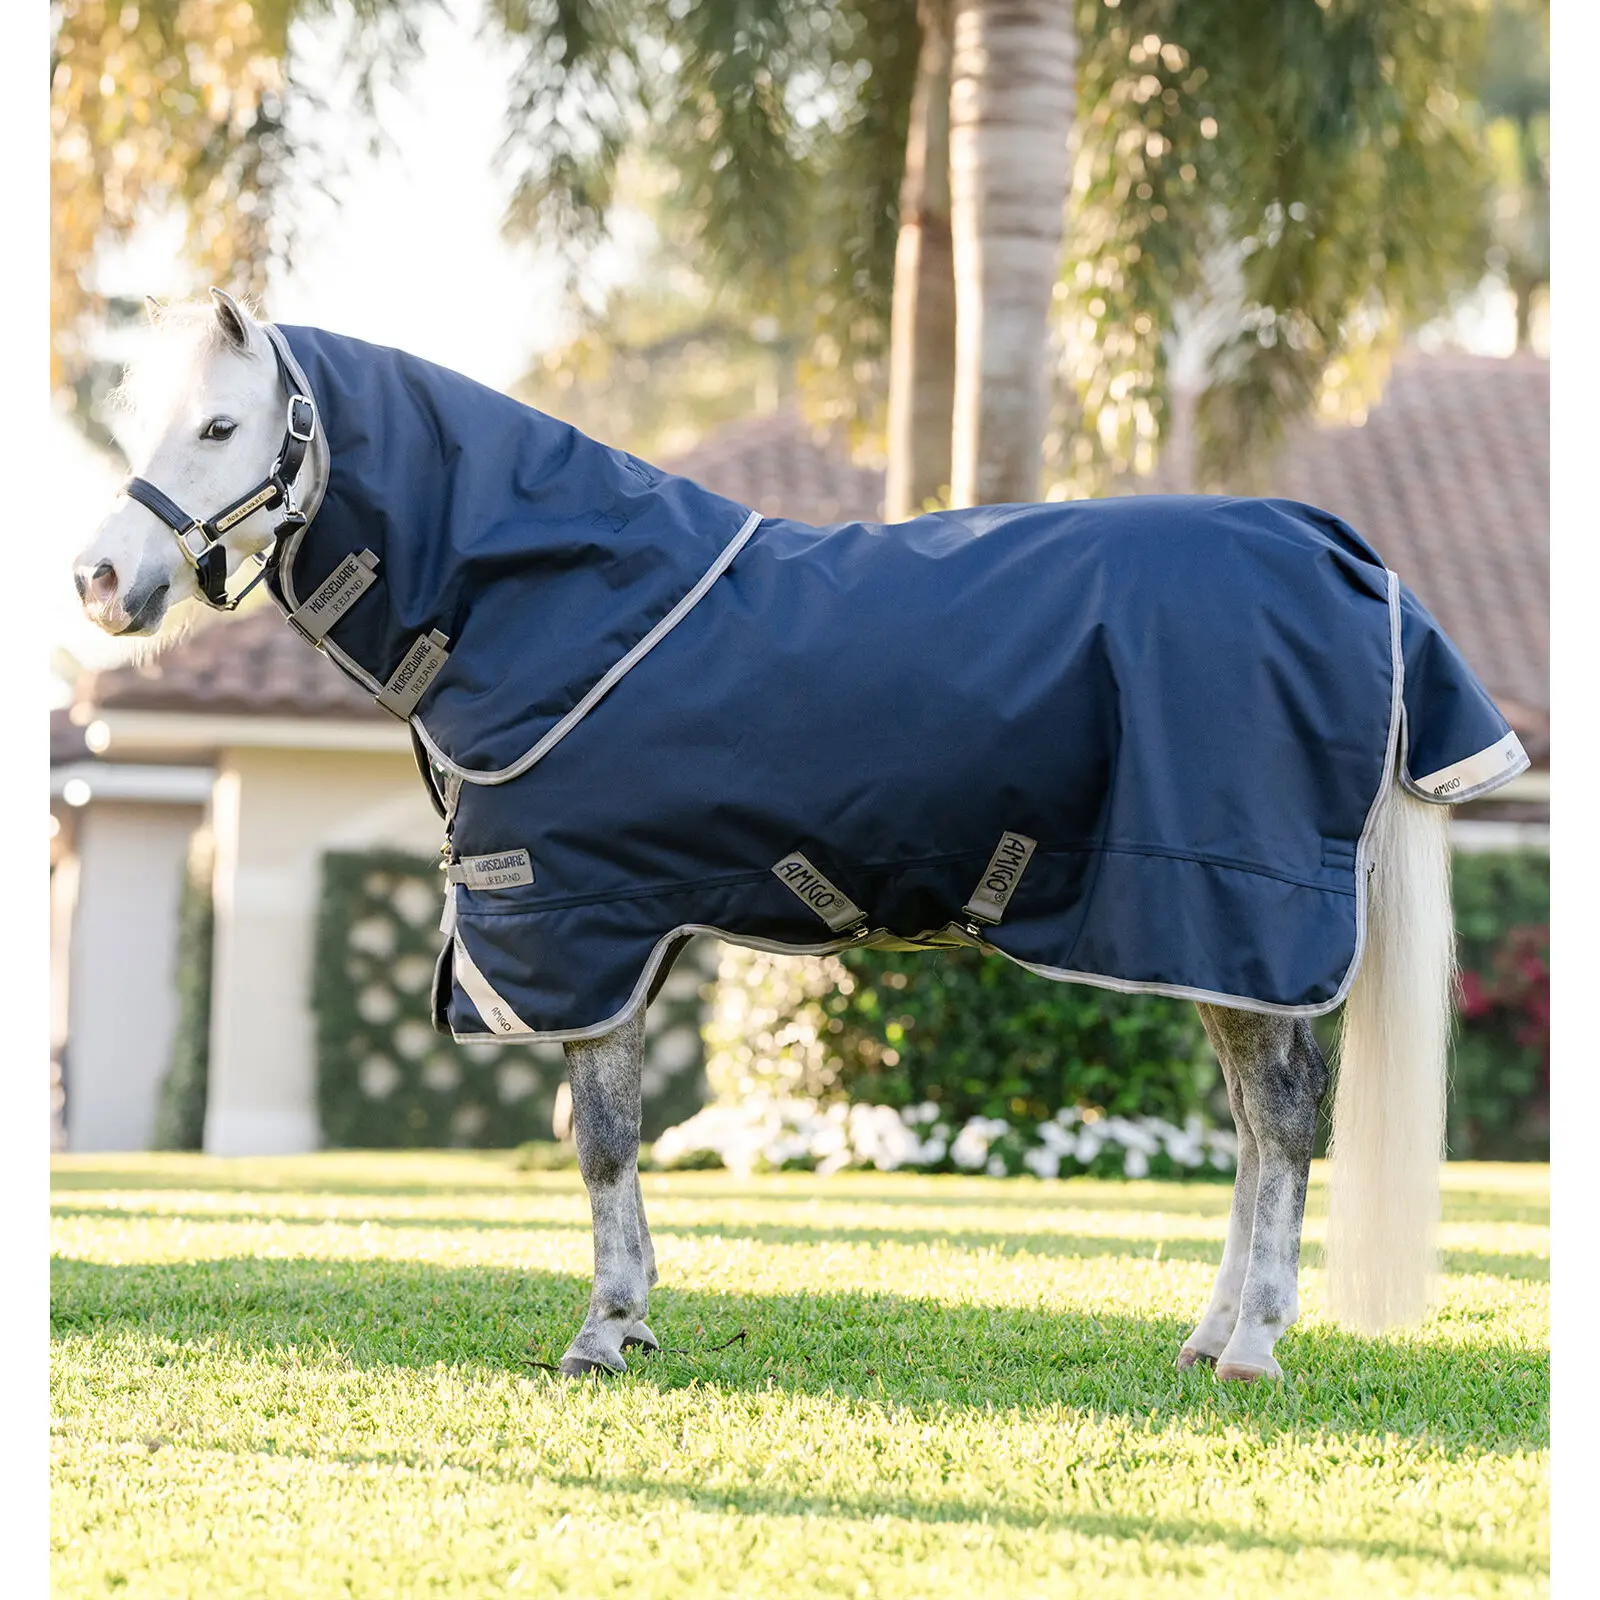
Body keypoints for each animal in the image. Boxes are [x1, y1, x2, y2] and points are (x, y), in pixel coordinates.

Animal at [75, 290, 1525, 1382]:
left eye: (222, 424)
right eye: (144, 419)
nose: (100, 581)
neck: (550, 603)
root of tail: (1350, 560)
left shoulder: (578, 929)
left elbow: (598, 1141)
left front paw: (603, 1331)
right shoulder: (616, 935)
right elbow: (608, 1138)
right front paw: (632, 1318)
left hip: (1235, 914)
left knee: (1280, 1123)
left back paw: (1251, 1346)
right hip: (1210, 940)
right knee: (1251, 1126)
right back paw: (1210, 1334)